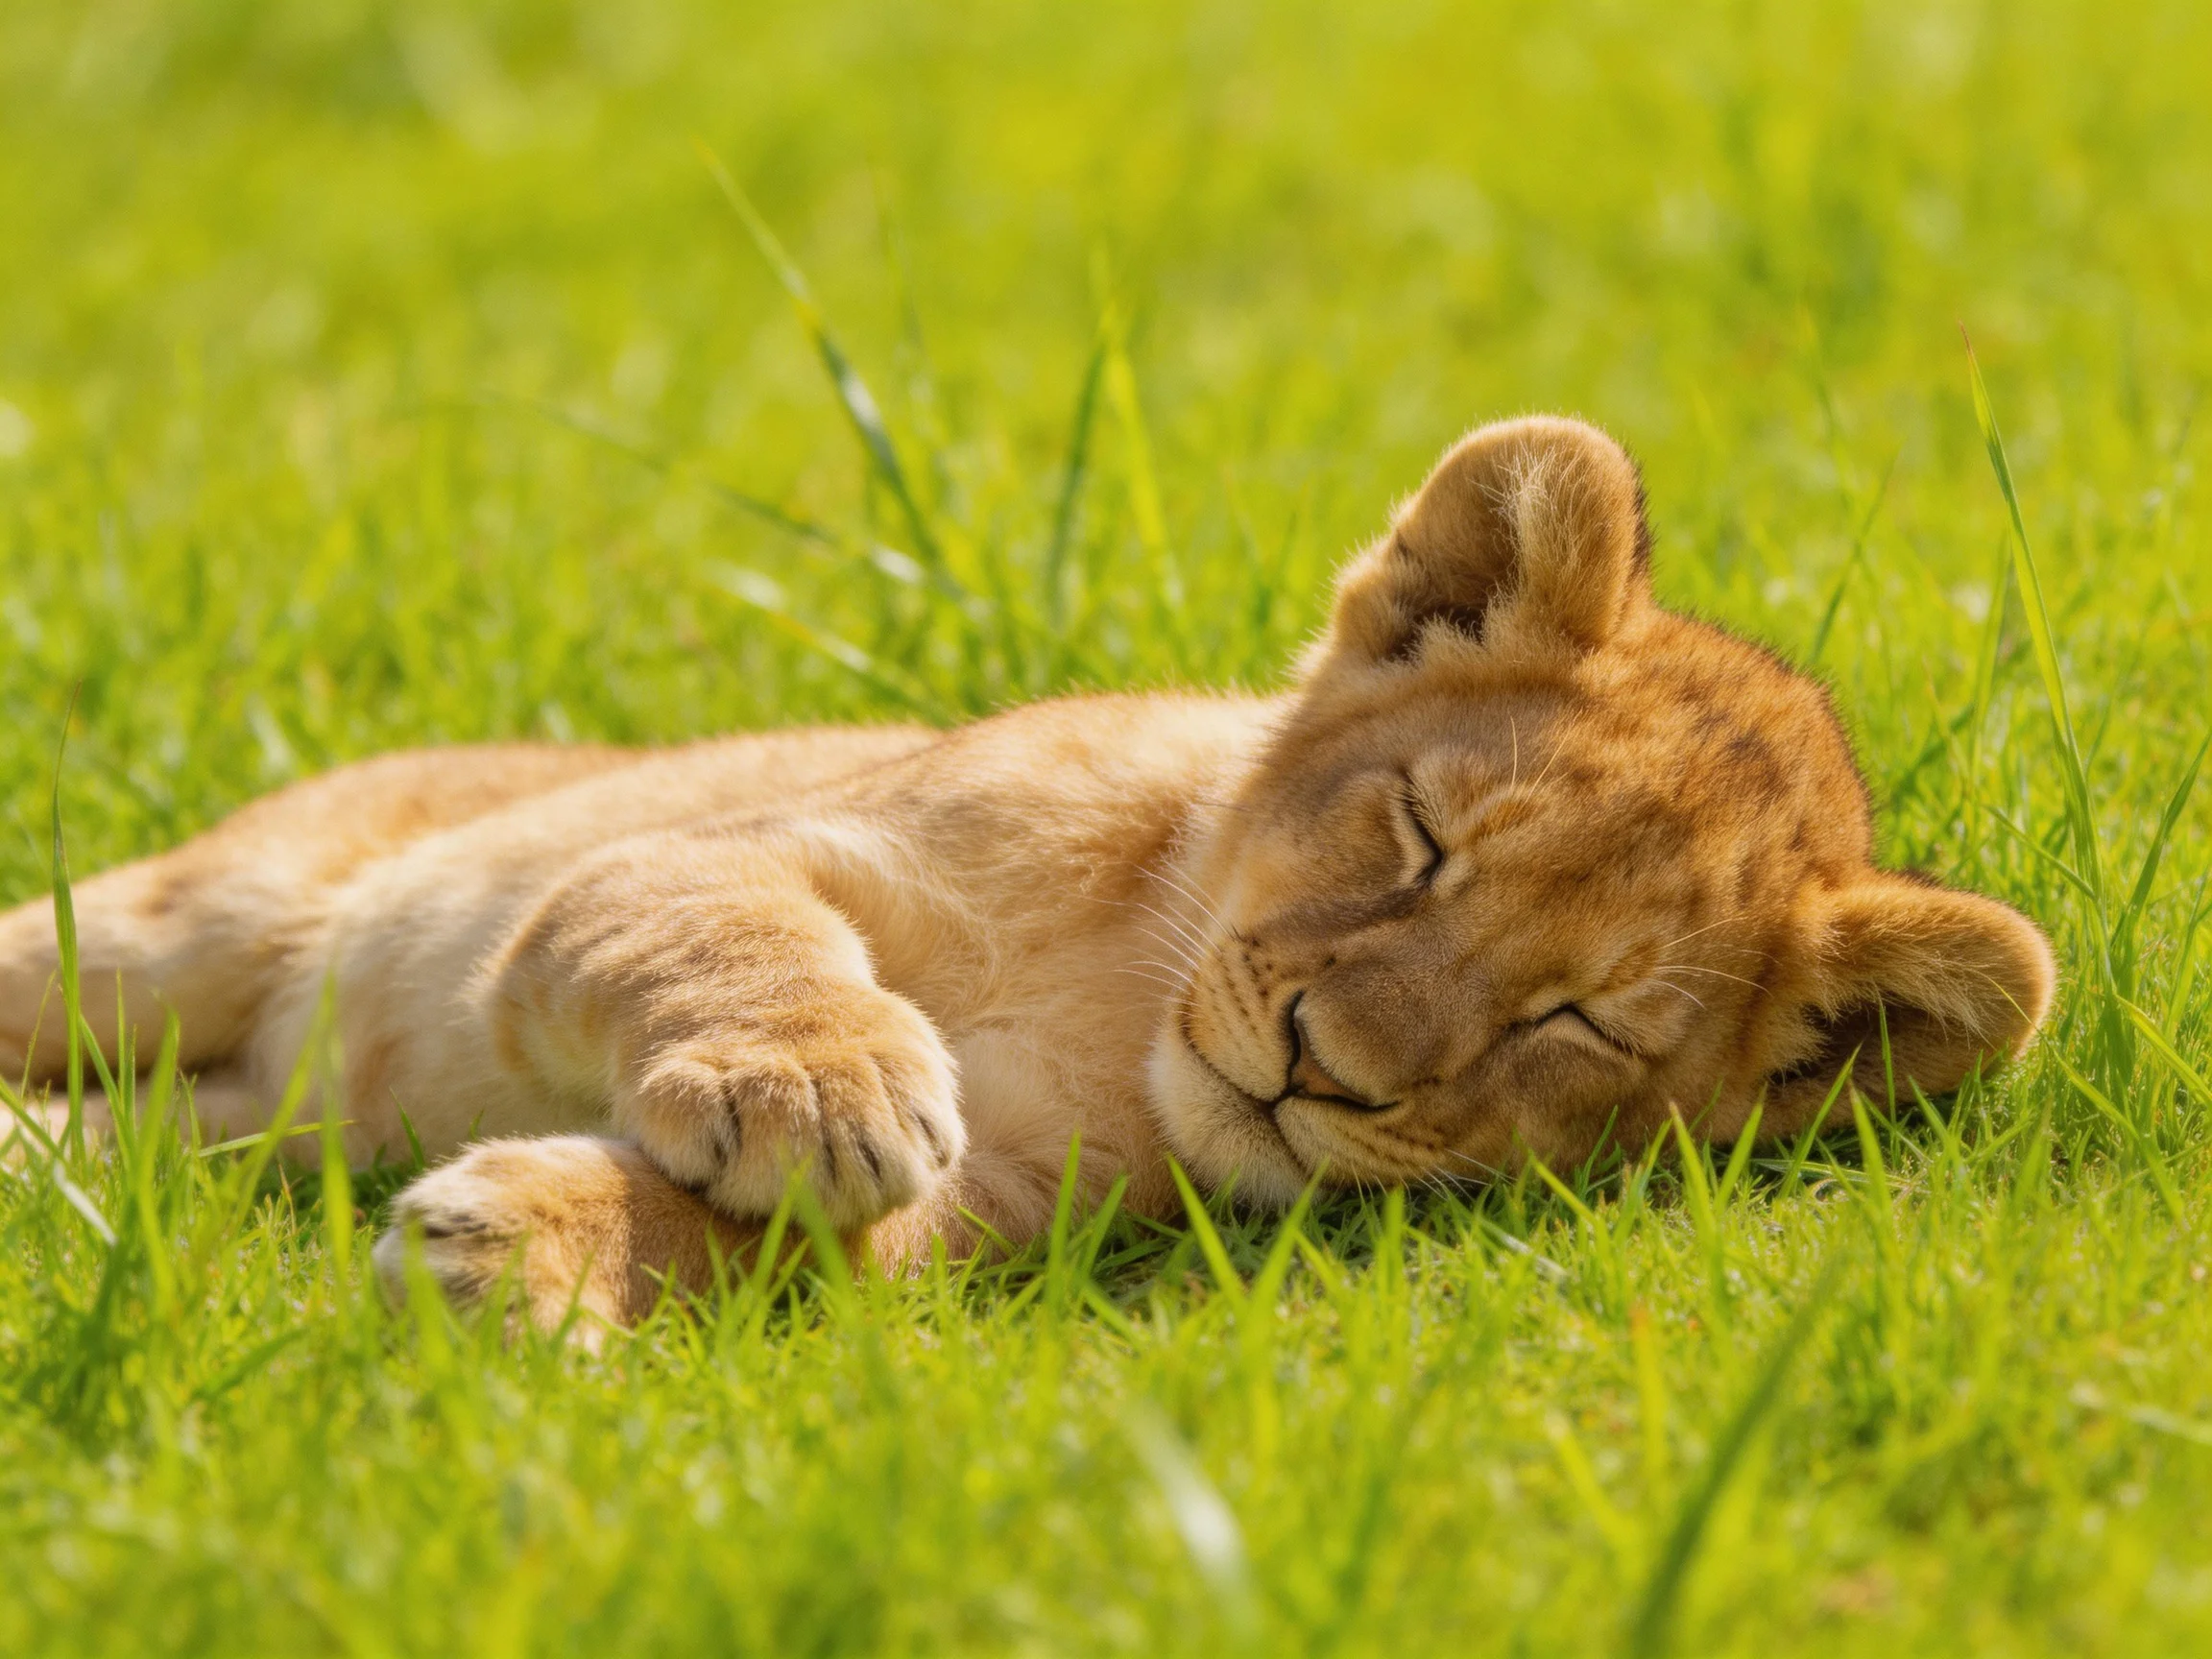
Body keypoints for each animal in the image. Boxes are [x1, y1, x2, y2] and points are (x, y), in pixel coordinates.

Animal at [0, 416, 2054, 1328]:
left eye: (1579, 1024)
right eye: (1416, 837)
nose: (1316, 1066)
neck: (1112, 988)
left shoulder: (1007, 1205)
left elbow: (766, 1241)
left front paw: (519, 1246)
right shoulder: (694, 848)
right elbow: (724, 931)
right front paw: (815, 1079)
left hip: (223, 1127)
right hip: (181, 925)